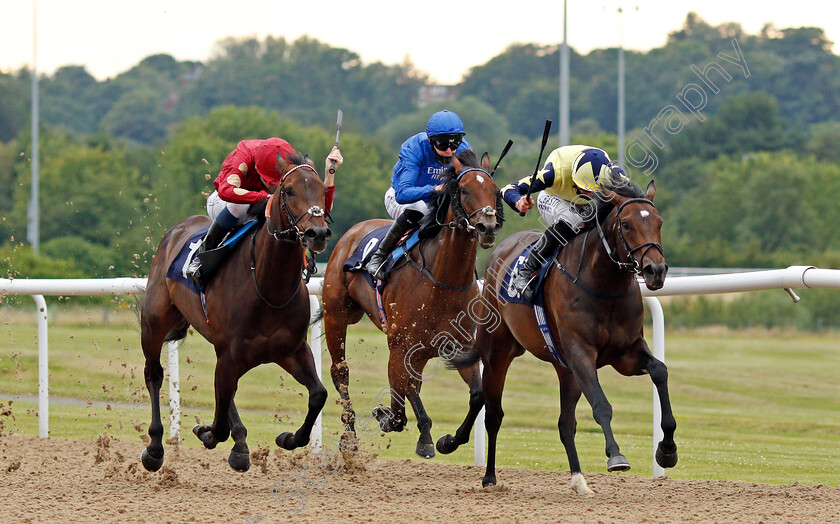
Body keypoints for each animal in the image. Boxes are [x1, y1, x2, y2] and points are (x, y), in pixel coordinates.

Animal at [141, 150, 332, 470]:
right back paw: (155, 448)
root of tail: (176, 230)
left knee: (227, 392)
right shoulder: (231, 354)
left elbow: (318, 394)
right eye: (289, 190)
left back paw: (240, 444)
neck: (268, 287)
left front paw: (288, 438)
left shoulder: (291, 350)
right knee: (154, 373)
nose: (316, 233)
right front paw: (204, 432)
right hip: (154, 323)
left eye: (321, 189)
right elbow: (217, 426)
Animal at [322, 150, 506, 458]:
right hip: (336, 315)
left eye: (494, 191)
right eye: (464, 190)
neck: (444, 280)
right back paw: (350, 436)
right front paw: (396, 422)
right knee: (341, 372)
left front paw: (448, 440)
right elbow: (400, 405)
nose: (487, 227)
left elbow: (477, 395)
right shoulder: (401, 346)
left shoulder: (458, 345)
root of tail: (353, 231)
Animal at [436, 178, 680, 494]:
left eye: (659, 222)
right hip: (497, 353)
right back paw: (486, 474)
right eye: (626, 224)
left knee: (565, 424)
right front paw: (616, 456)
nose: (656, 270)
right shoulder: (581, 354)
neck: (605, 287)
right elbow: (601, 405)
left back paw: (579, 480)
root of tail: (501, 250)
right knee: (493, 413)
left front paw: (667, 450)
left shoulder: (626, 353)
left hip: (565, 370)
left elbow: (659, 371)